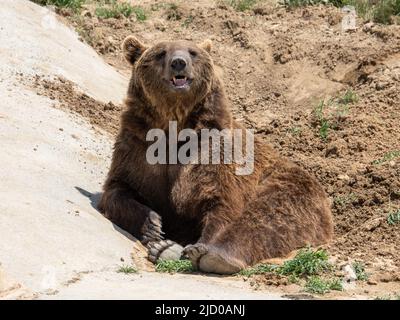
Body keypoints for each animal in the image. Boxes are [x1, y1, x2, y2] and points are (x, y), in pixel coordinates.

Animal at [97, 35, 334, 276]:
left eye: (192, 52)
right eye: (161, 53)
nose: (179, 63)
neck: (173, 125)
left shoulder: (213, 154)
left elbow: (220, 201)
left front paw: (197, 247)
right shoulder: (136, 148)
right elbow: (118, 189)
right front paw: (153, 226)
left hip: (292, 187)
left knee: (270, 214)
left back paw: (211, 256)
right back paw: (165, 248)